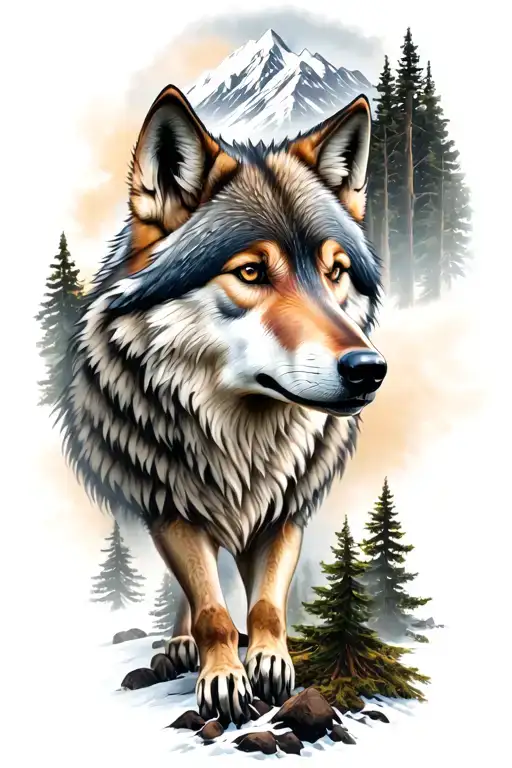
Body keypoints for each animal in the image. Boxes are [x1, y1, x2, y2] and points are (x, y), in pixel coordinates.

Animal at [59, 84, 386, 725]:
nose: (369, 370)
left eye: (335, 271)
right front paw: (221, 675)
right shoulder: (172, 509)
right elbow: (211, 607)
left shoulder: (285, 510)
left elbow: (265, 606)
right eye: (252, 272)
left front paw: (270, 662)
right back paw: (181, 643)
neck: (241, 440)